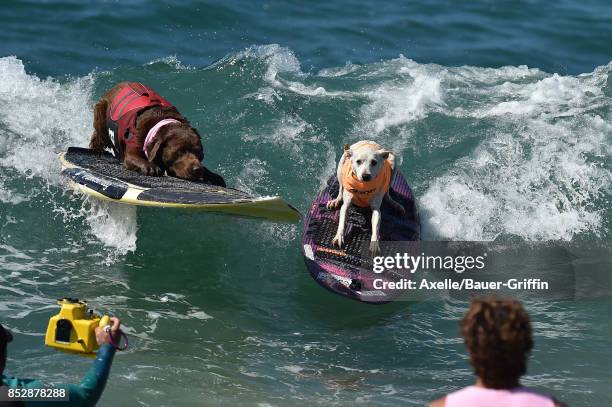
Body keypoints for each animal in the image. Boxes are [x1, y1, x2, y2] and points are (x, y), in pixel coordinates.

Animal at [88, 81, 225, 186]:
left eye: (199, 152)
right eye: (179, 151)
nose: (197, 169)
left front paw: (213, 175)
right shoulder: (134, 144)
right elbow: (133, 157)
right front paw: (151, 167)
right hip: (100, 112)